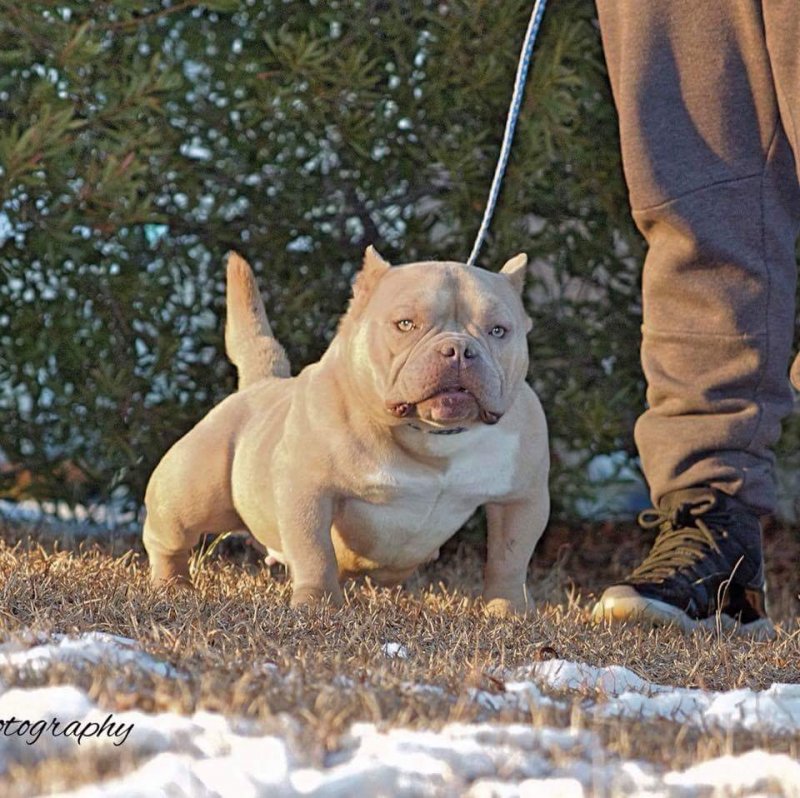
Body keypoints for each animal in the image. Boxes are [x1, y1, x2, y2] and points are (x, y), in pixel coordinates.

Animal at [142, 247, 552, 616]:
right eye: (405, 324)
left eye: (498, 331)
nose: (459, 350)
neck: (432, 437)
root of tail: (261, 383)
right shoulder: (308, 489)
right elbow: (315, 551)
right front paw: (317, 602)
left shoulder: (522, 498)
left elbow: (509, 558)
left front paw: (508, 610)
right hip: (191, 493)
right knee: (167, 537)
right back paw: (172, 585)